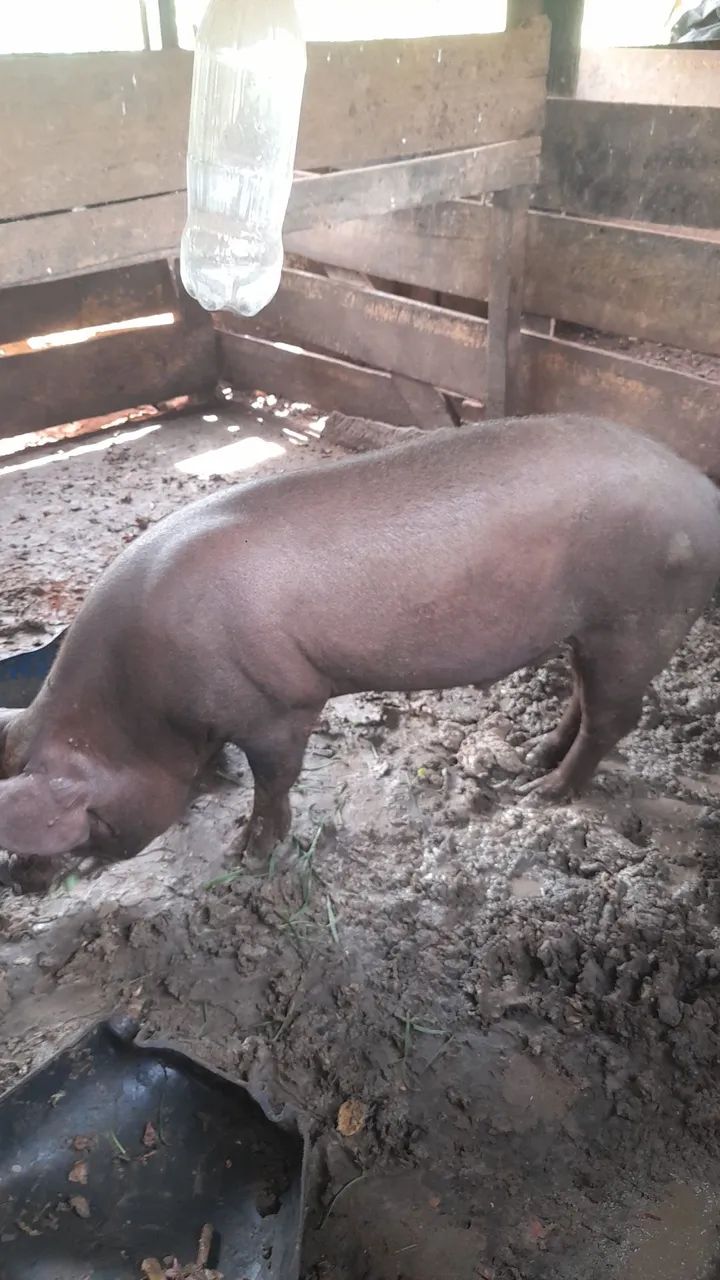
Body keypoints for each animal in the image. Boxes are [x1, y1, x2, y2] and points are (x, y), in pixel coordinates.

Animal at [1, 414, 719, 871]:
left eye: (85, 823)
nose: (24, 878)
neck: (140, 707)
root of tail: (701, 490)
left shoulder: (281, 702)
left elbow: (275, 780)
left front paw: (245, 853)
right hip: (595, 627)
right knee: (582, 693)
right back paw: (533, 755)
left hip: (640, 614)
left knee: (616, 716)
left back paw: (542, 793)